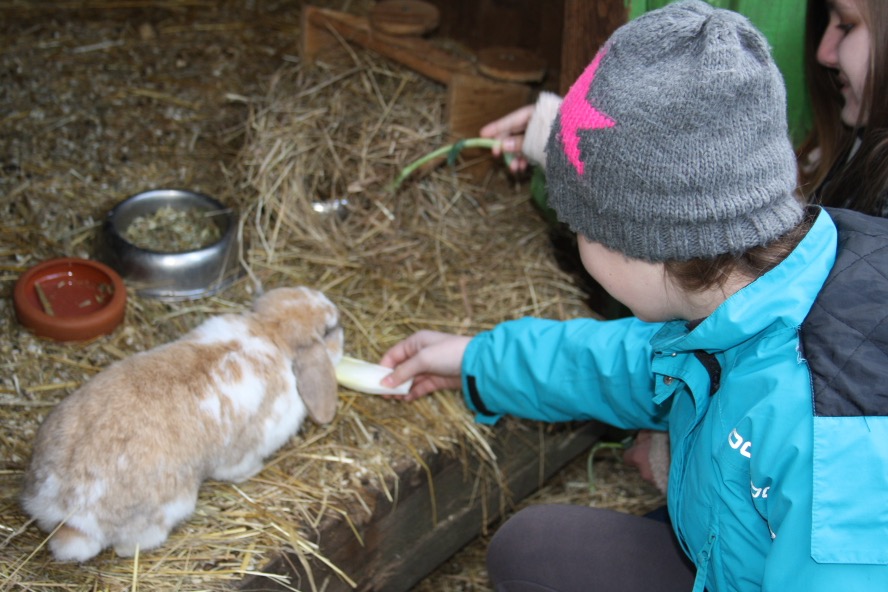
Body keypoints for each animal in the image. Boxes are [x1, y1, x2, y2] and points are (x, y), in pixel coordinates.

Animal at [18, 284, 344, 560]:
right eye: (329, 329)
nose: (340, 323)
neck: (269, 331)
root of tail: (67, 509)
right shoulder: (245, 450)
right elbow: (238, 467)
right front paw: (253, 472)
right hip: (167, 509)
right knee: (129, 546)